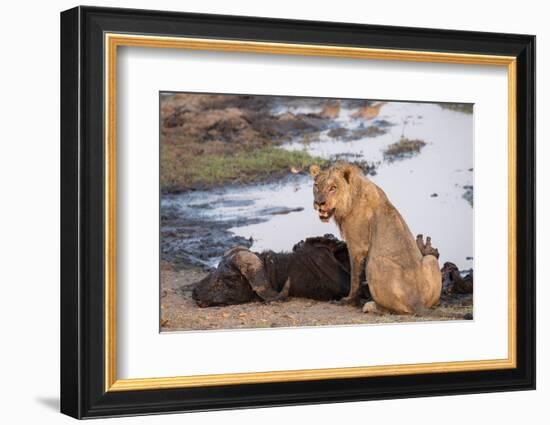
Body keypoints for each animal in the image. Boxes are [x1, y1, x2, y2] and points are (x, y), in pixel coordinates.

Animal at [310, 163, 444, 314]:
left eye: (333, 187)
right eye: (316, 186)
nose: (319, 202)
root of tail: (417, 302)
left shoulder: (357, 246)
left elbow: (355, 277)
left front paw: (348, 301)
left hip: (375, 262)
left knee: (392, 309)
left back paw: (370, 306)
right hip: (430, 260)